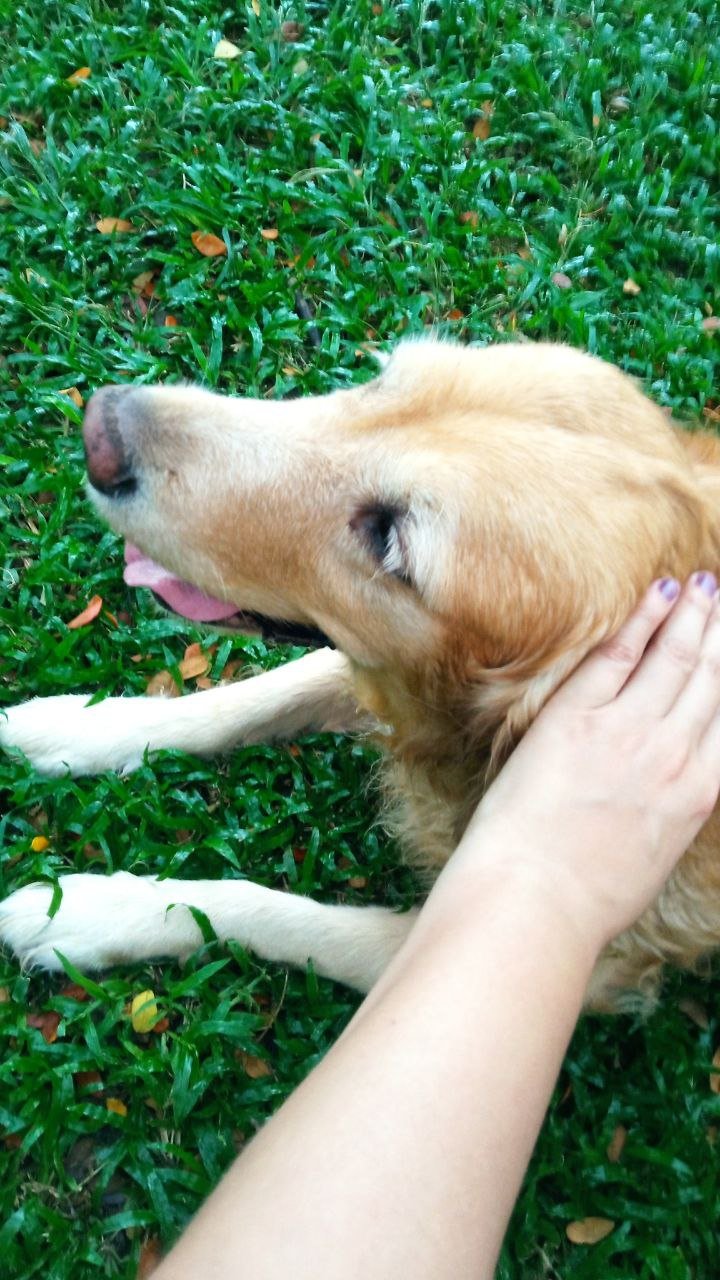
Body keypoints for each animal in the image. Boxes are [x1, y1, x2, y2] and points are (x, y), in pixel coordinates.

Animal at [1, 343, 717, 1008]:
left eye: (388, 540)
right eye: (381, 381)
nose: (102, 427)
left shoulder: (574, 961)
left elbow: (272, 912)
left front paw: (90, 911)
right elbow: (261, 694)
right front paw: (77, 725)